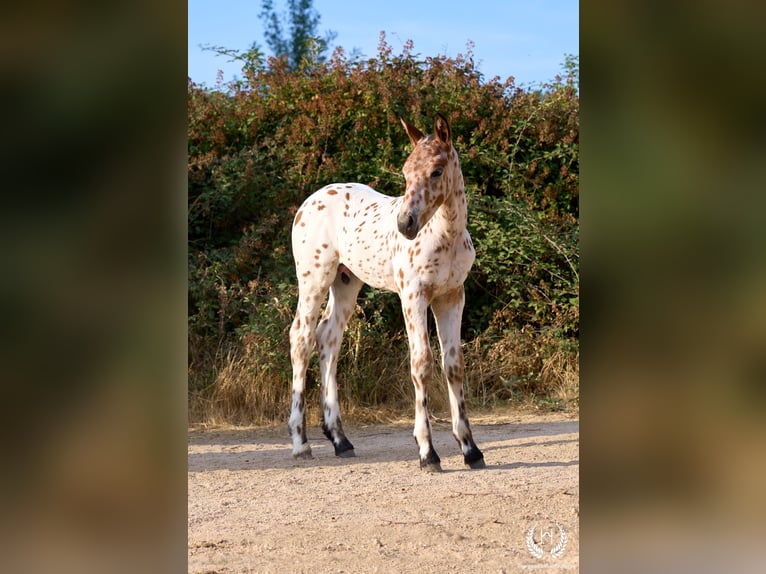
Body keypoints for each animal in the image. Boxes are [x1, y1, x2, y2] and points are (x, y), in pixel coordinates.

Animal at [287, 113, 484, 471]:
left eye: (436, 171)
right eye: (405, 172)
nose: (405, 224)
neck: (445, 237)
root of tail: (309, 202)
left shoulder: (452, 297)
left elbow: (454, 364)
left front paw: (470, 448)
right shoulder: (413, 296)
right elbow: (421, 363)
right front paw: (427, 452)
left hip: (346, 283)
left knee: (328, 339)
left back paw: (340, 439)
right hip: (313, 279)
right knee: (302, 338)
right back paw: (300, 442)